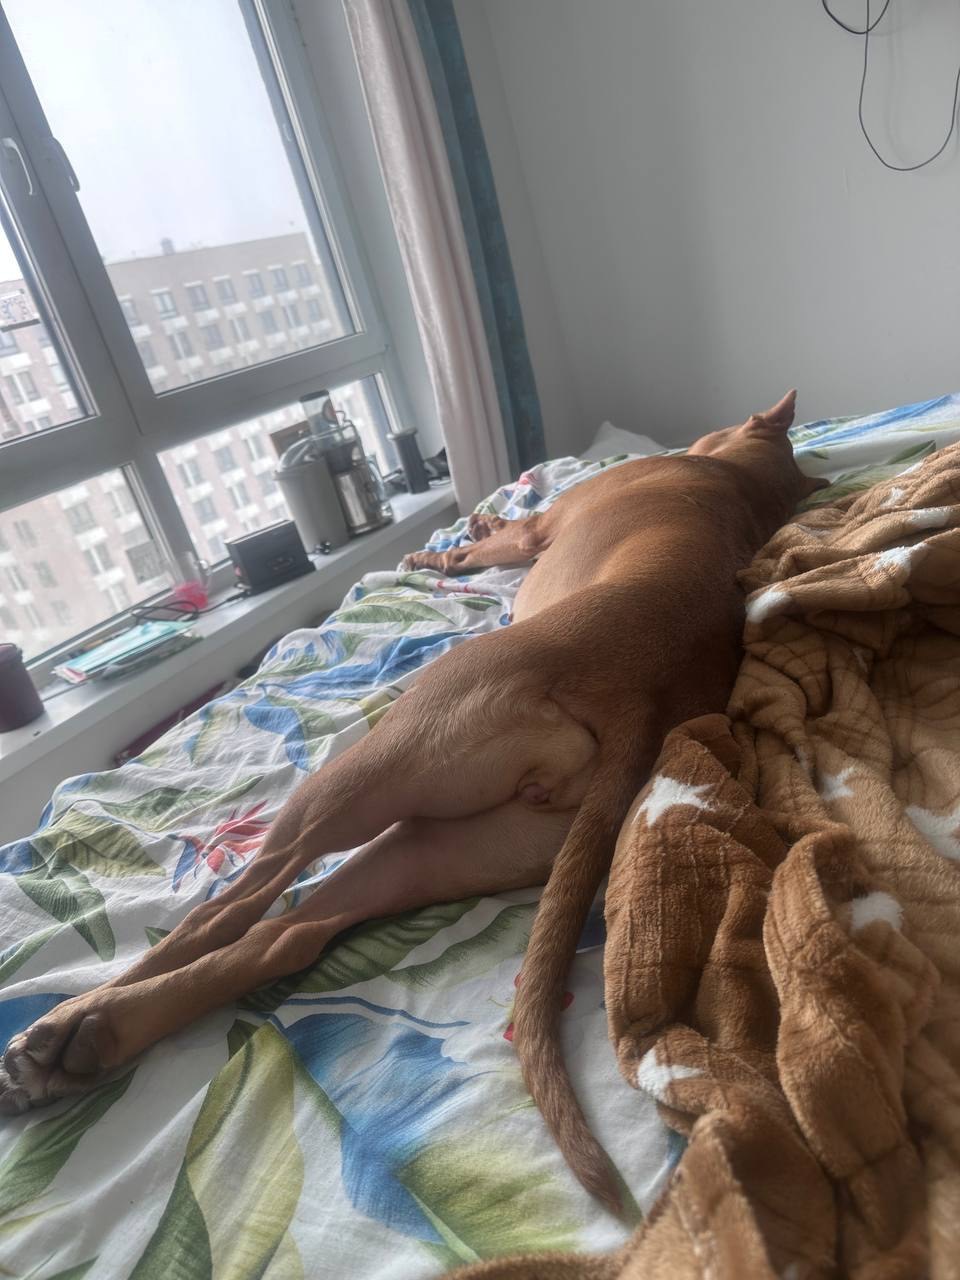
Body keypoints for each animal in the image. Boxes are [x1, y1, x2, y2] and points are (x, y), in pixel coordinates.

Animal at [0, 391, 822, 1210]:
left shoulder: (539, 528)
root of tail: (643, 705)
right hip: (441, 845)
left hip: (375, 765)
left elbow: (496, 541)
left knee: (239, 902)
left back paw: (73, 1019)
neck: (738, 485)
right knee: (288, 936)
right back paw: (93, 1039)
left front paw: (443, 551)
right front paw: (467, 533)